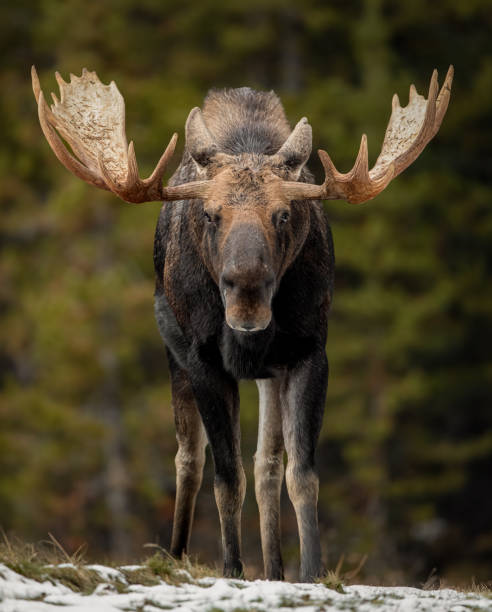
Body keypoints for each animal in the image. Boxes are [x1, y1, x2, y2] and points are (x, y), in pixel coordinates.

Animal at [31, 64, 454, 580]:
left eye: (283, 214)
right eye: (211, 214)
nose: (246, 293)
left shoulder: (309, 353)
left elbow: (300, 473)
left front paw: (311, 571)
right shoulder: (203, 360)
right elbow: (225, 476)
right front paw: (232, 569)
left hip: (268, 374)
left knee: (266, 465)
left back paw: (273, 570)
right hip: (174, 353)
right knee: (189, 458)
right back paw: (176, 554)